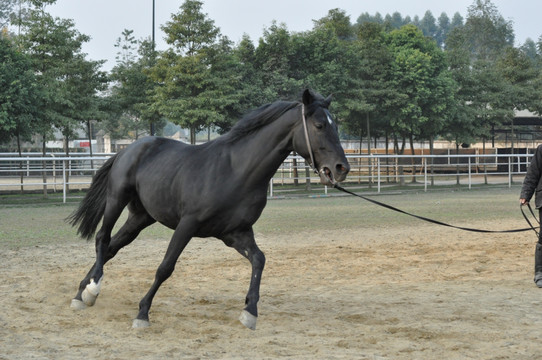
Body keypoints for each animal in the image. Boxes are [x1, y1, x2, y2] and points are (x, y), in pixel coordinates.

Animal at [68, 90, 350, 330]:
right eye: (319, 125)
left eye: (336, 125)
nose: (341, 168)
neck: (236, 171)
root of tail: (129, 149)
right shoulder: (187, 225)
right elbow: (165, 267)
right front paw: (142, 314)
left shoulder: (235, 233)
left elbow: (259, 260)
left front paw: (250, 312)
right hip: (116, 199)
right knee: (103, 239)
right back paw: (93, 289)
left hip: (141, 217)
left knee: (112, 247)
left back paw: (82, 293)